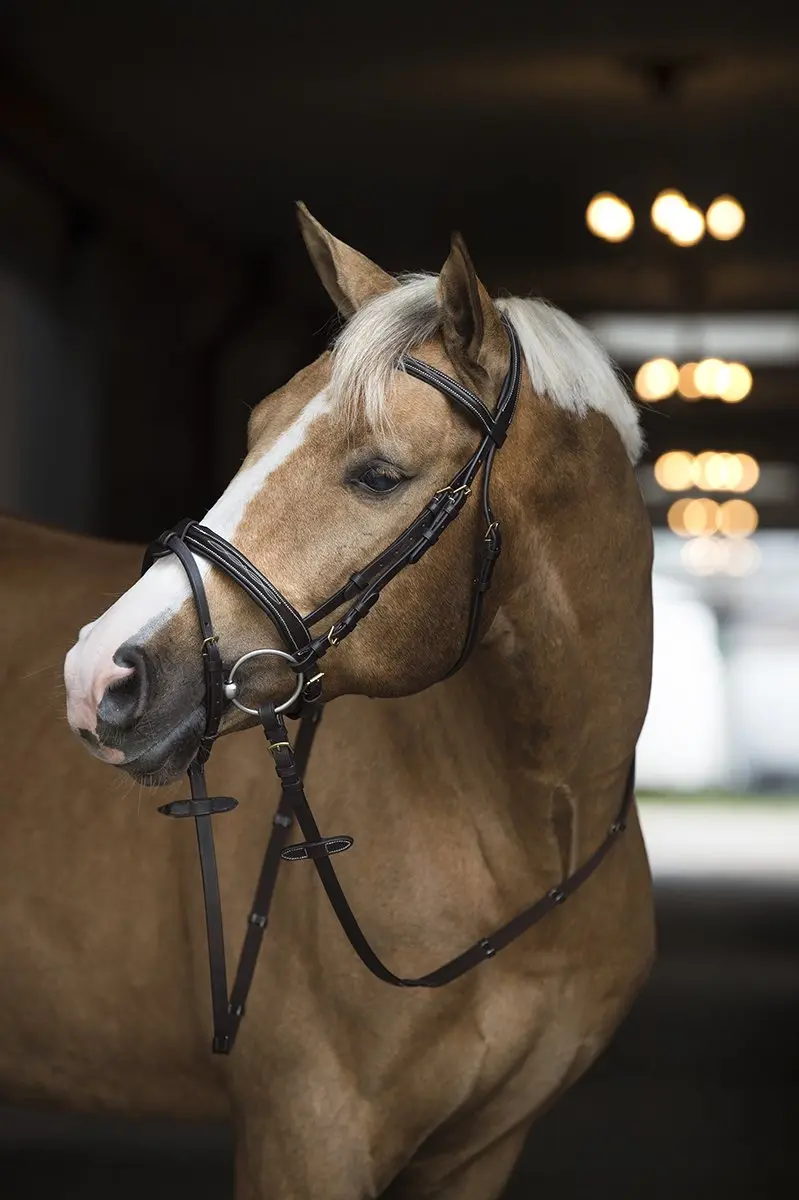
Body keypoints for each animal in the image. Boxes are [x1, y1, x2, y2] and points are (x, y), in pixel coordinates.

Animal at [15, 206, 654, 1199]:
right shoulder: (308, 1136)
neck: (531, 820)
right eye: (254, 428)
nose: (99, 677)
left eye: (379, 475)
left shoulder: (482, 1150)